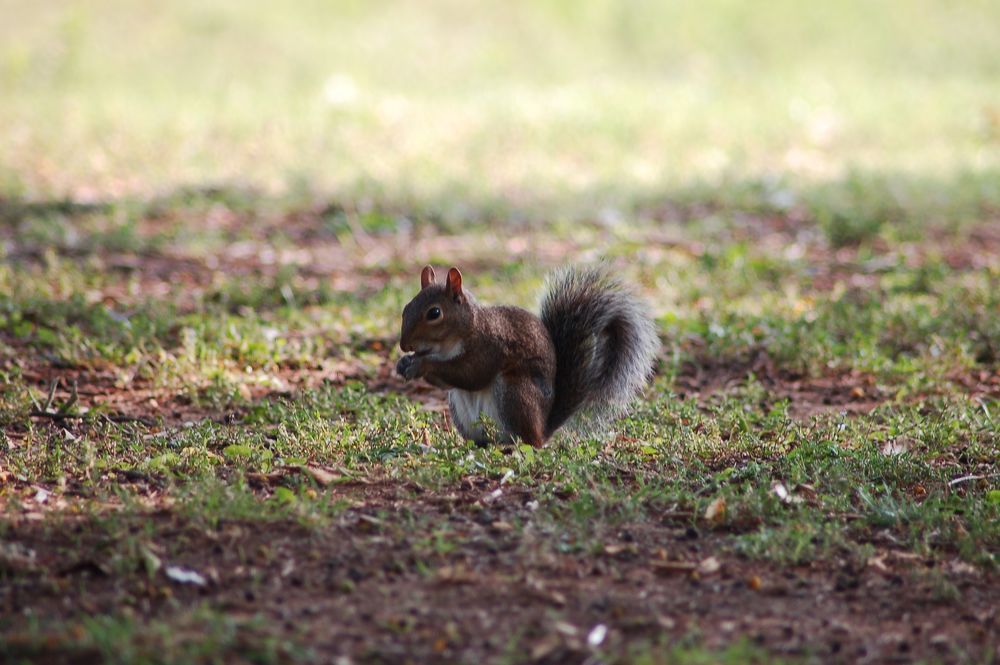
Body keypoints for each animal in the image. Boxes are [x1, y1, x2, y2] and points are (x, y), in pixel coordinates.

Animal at [394, 264, 660, 446]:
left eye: (434, 313)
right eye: (406, 308)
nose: (404, 345)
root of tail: (544, 428)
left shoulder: (490, 347)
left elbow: (471, 374)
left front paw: (421, 365)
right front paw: (404, 363)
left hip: (515, 393)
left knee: (530, 441)